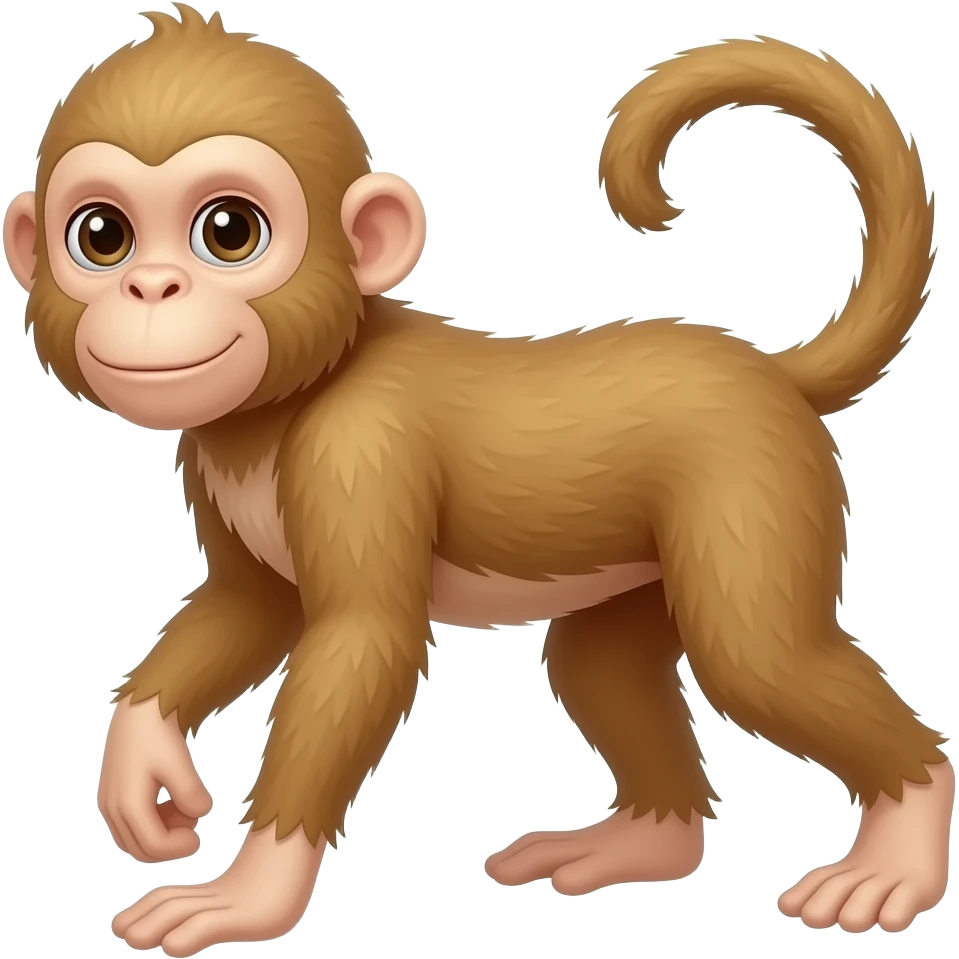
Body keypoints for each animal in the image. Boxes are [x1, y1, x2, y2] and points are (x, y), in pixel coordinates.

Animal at [3, 6, 952, 954]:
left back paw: (898, 847)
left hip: (752, 485)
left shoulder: (360, 450)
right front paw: (140, 759)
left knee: (759, 659)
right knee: (596, 666)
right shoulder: (206, 461)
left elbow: (364, 641)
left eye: (229, 230)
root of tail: (767, 370)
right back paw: (640, 842)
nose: (151, 286)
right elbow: (247, 607)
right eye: (101, 235)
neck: (287, 401)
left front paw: (251, 892)